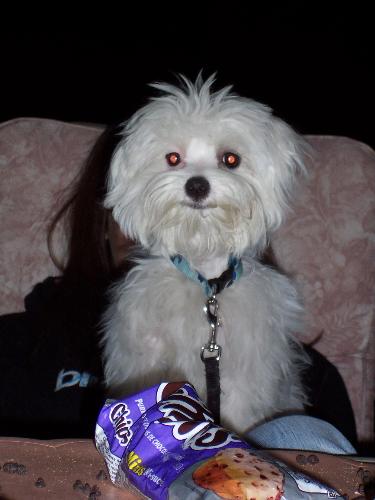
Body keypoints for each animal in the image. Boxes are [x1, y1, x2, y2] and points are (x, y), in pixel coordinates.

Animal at [102, 73, 308, 434]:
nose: (196, 185)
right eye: (172, 158)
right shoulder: (145, 355)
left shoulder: (244, 377)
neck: (206, 278)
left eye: (230, 159)